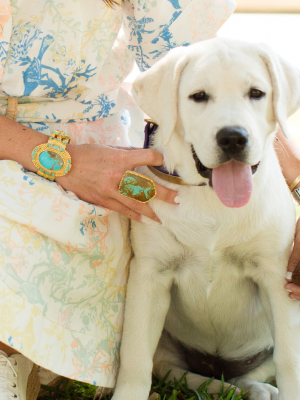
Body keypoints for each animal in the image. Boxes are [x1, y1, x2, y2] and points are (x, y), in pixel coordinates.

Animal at [111, 38, 300, 400]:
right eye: (198, 96)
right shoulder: (150, 274)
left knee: (253, 373)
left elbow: (289, 360)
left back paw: (257, 389)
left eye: (256, 93)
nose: (233, 137)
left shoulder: (277, 278)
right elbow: (135, 357)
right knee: (172, 369)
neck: (213, 200)